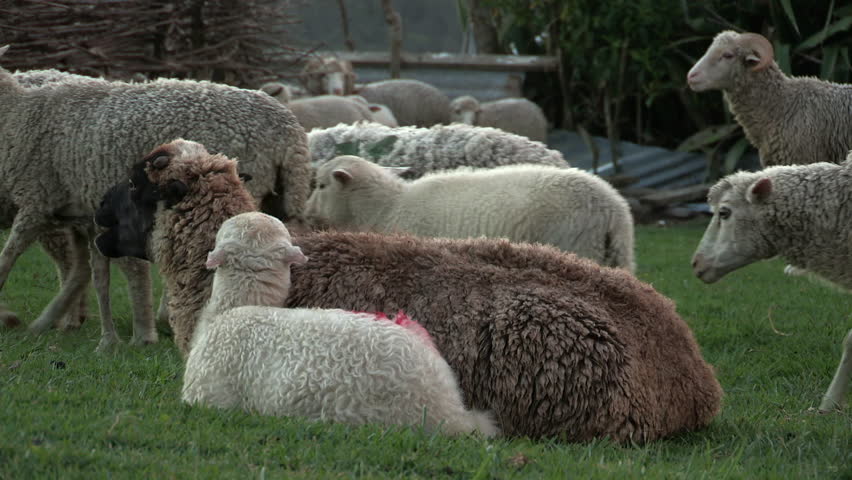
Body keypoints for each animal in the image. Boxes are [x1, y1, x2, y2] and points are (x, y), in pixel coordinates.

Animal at [0, 45, 311, 351]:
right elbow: (96, 273)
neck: (18, 114)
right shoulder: (79, 214)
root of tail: (289, 131)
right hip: (285, 198)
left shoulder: (38, 200)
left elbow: (9, 256)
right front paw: (104, 335)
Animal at [306, 156, 635, 272]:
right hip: (617, 256)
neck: (387, 207)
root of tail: (612, 210)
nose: (306, 213)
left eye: (321, 185)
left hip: (578, 244)